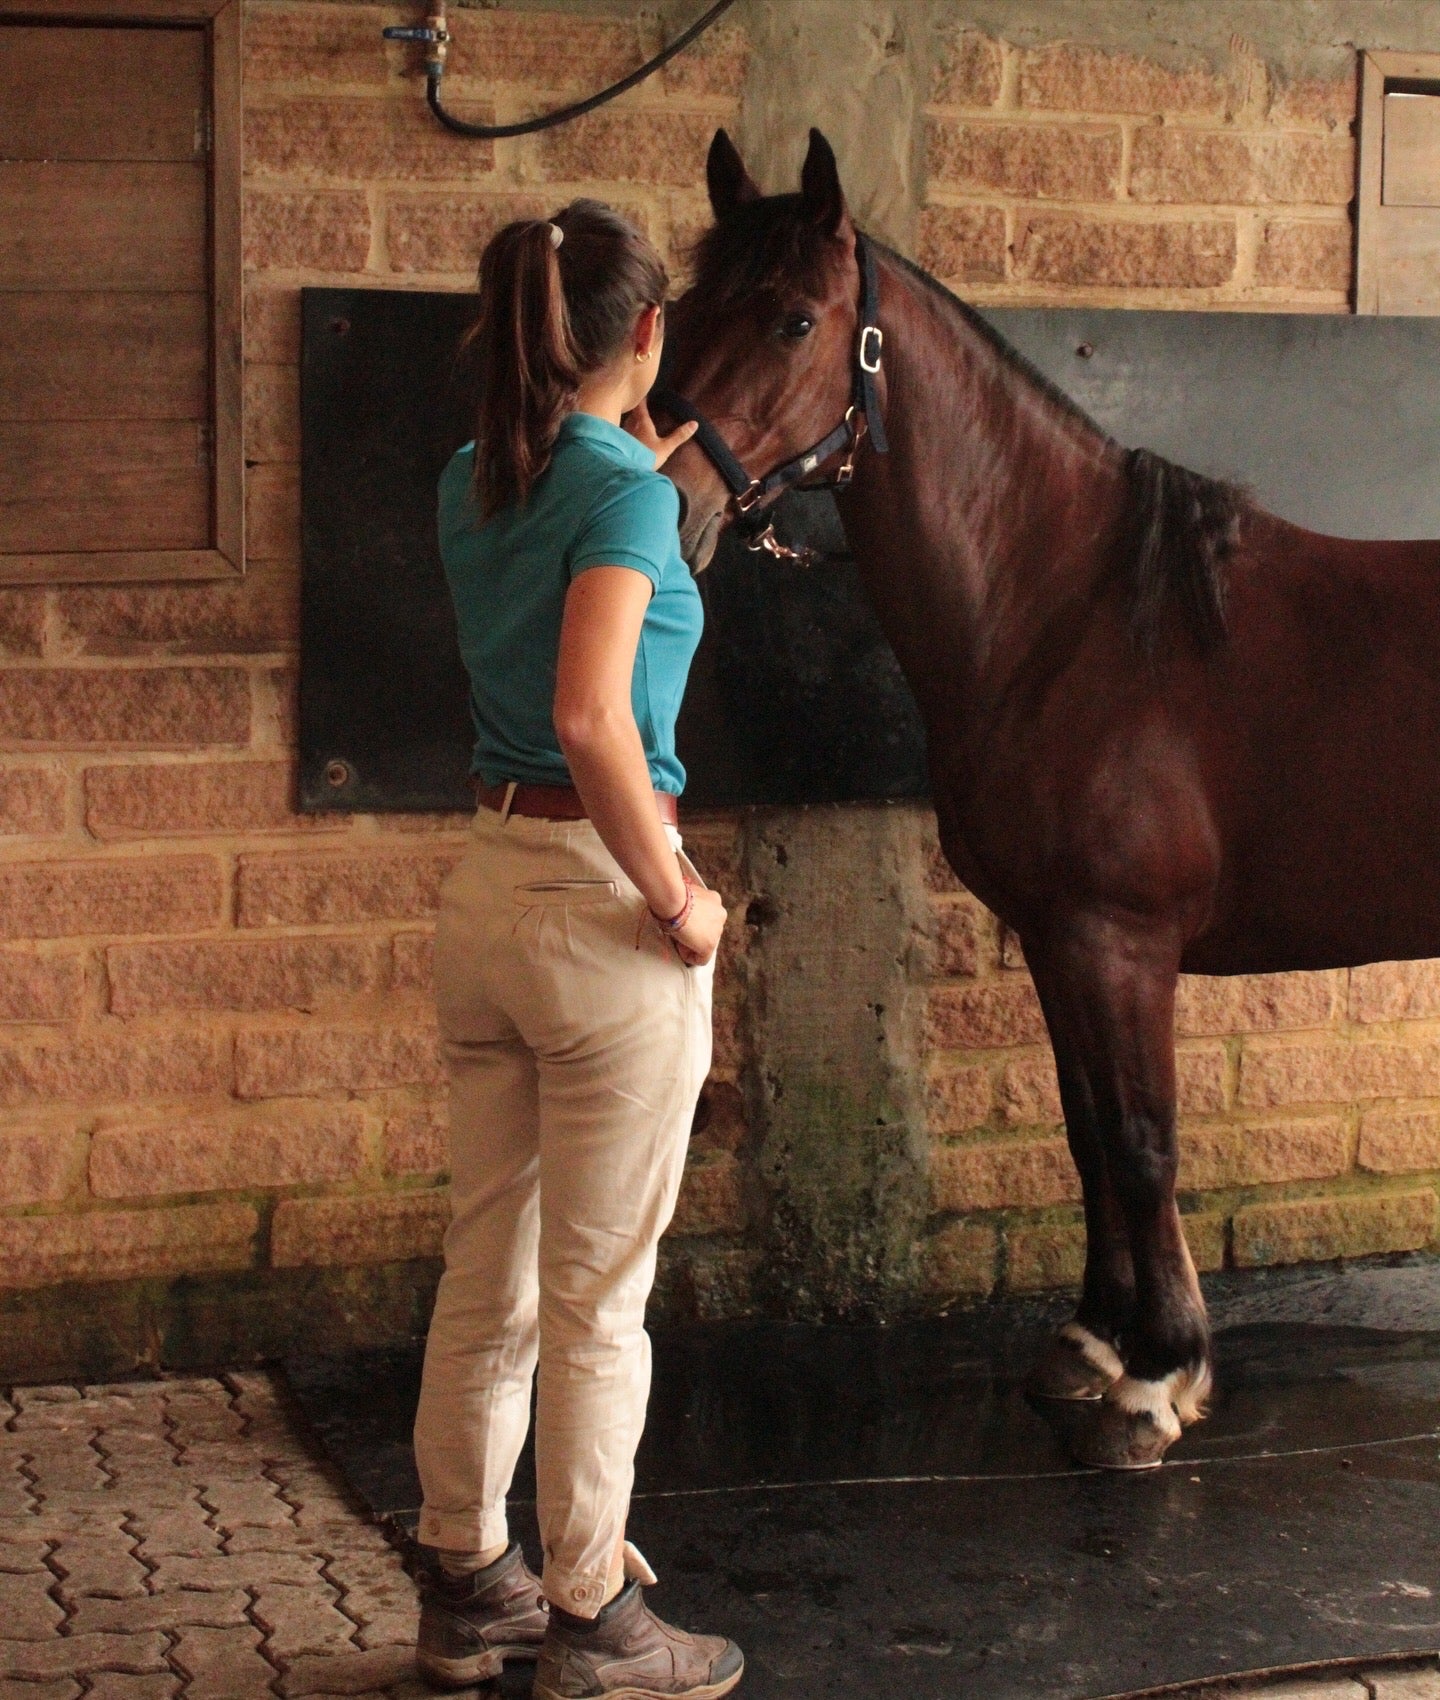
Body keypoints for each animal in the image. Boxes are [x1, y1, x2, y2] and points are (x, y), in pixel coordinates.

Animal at [659, 125, 1440, 1468]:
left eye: (796, 319)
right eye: (690, 302)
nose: (664, 490)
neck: (1068, 619)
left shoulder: (1120, 939)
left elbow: (1141, 1137)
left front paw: (1159, 1378)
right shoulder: (1055, 936)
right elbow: (1084, 1129)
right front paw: (1092, 1345)